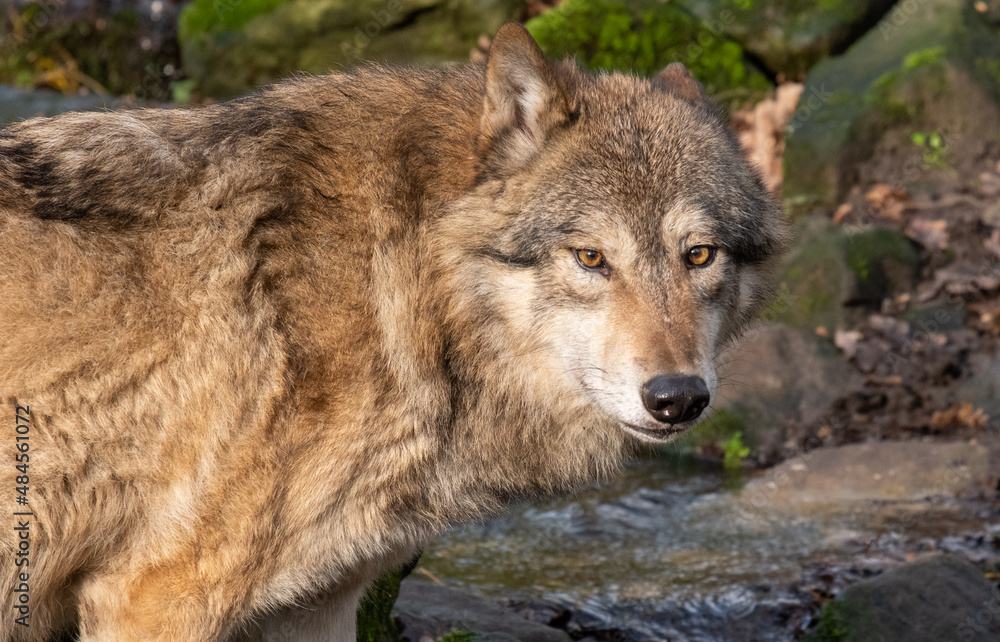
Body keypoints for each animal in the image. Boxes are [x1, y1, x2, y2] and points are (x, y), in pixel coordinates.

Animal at [0, 22, 786, 641]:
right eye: (591, 258)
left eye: (700, 255)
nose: (677, 397)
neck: (400, 292)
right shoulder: (155, 597)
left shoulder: (311, 609)